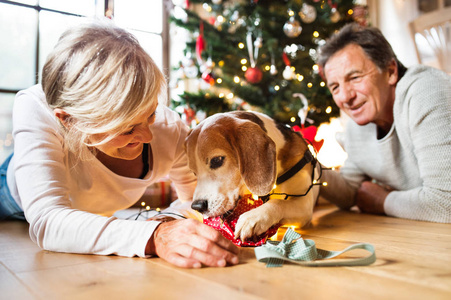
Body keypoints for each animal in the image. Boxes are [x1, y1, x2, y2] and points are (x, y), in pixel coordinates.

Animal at [185, 110, 320, 241]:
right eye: (194, 172)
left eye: (217, 160)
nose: (197, 206)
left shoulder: (305, 204)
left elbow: (278, 203)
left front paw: (253, 218)